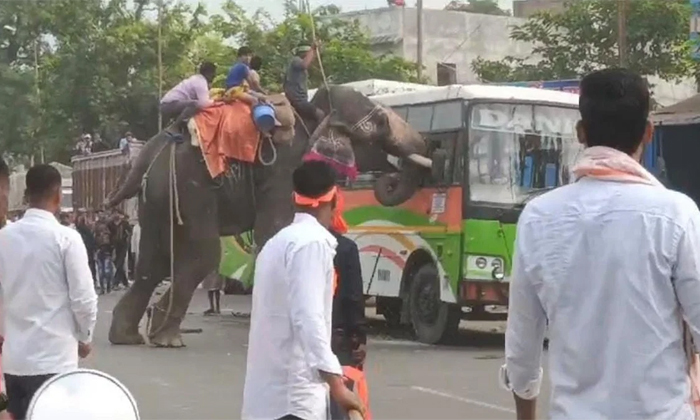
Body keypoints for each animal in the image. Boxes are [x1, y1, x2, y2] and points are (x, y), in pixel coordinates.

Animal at [104, 86, 432, 348]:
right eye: (381, 124)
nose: (389, 177)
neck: (316, 109)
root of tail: (149, 154)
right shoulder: (285, 170)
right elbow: (273, 230)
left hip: (157, 200)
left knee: (153, 261)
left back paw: (130, 337)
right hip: (190, 189)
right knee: (201, 255)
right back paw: (167, 339)